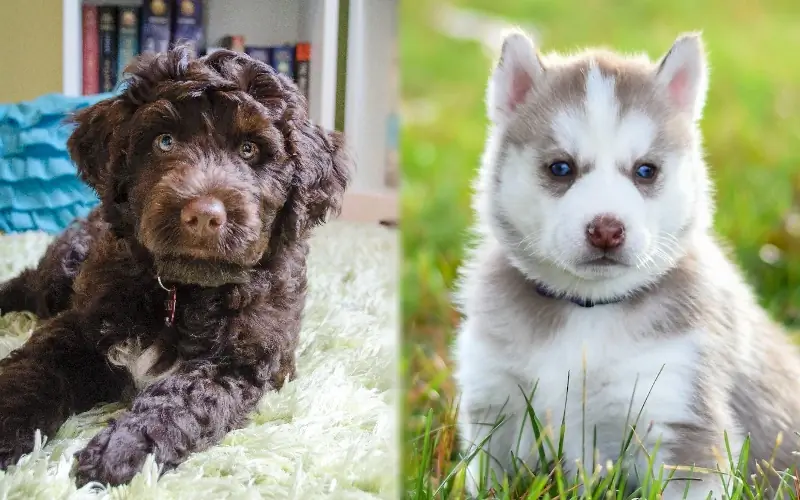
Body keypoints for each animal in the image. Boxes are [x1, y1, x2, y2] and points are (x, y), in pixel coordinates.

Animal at [0, 47, 348, 484]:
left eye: (249, 150)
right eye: (165, 142)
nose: (203, 215)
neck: (182, 291)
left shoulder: (245, 361)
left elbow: (184, 400)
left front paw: (122, 449)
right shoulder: (79, 322)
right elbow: (33, 371)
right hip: (62, 273)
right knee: (28, 284)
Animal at [454, 32, 800, 500]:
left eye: (645, 170)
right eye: (561, 168)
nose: (606, 229)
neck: (587, 310)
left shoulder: (681, 422)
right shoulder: (496, 407)